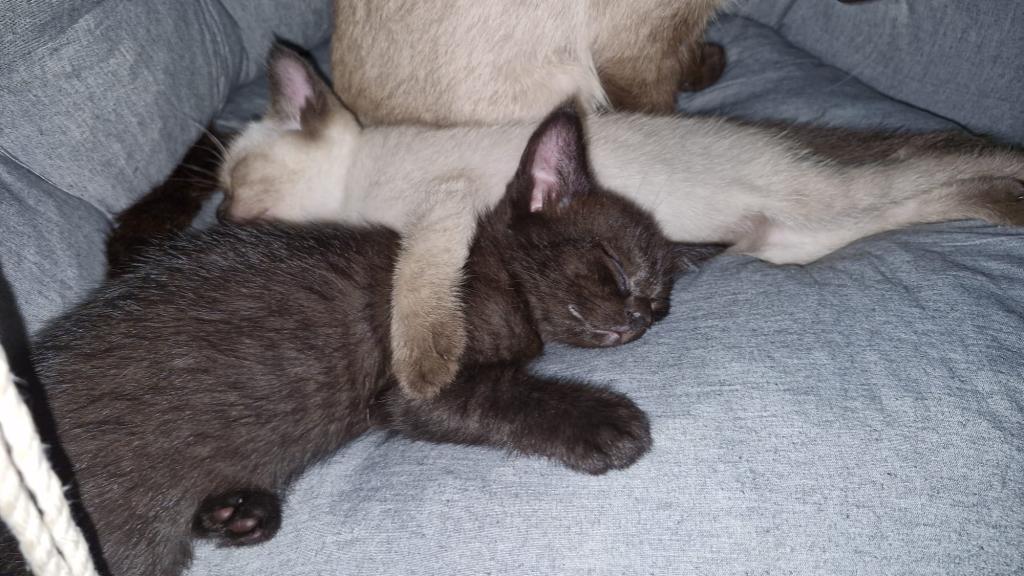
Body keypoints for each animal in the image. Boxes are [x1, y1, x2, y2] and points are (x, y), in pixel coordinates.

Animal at [18, 105, 721, 576]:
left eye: (660, 306)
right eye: (615, 268)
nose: (636, 319)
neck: (494, 271)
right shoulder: (419, 375)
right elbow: (504, 396)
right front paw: (605, 422)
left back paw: (240, 512)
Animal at [219, 45, 1024, 401]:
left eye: (232, 179)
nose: (219, 212)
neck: (359, 179)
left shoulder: (441, 205)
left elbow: (417, 285)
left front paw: (425, 366)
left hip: (829, 196)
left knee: (938, 156)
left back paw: (1009, 178)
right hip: (805, 237)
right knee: (918, 199)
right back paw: (1002, 203)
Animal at [331, 0, 728, 124]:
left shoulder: (674, 32)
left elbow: (685, 58)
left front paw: (706, 66)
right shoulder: (635, 52)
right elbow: (659, 111)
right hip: (563, 85)